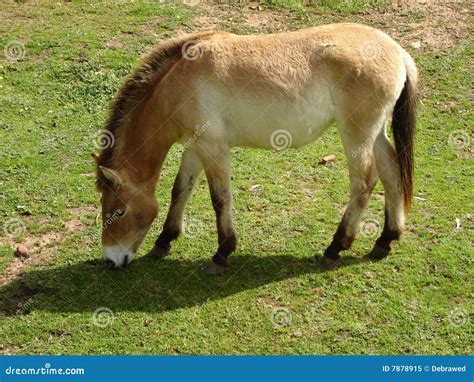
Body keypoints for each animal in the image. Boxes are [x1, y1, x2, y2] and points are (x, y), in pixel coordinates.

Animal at [92, 23, 414, 274]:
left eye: (119, 212)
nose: (111, 260)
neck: (181, 81)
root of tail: (398, 52)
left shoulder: (214, 149)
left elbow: (220, 198)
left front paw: (222, 254)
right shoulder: (196, 148)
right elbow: (180, 189)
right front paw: (164, 241)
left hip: (356, 136)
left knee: (364, 184)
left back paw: (335, 248)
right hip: (376, 134)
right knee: (392, 175)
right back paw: (385, 240)